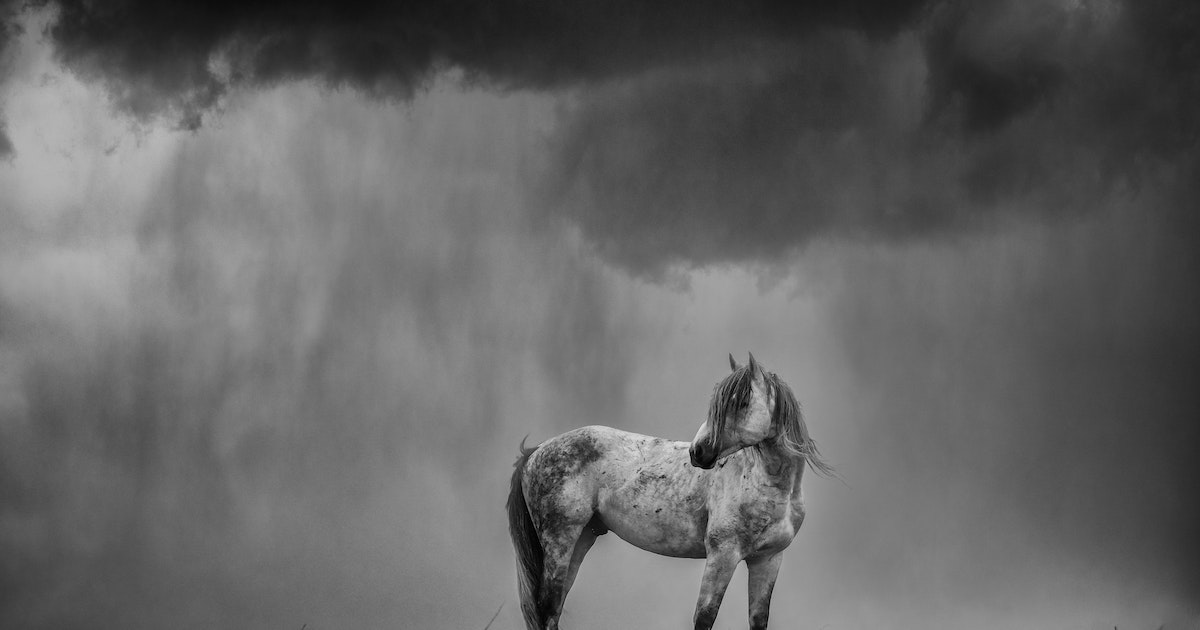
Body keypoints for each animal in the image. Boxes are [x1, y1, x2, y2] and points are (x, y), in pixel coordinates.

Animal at [507, 353, 834, 629]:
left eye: (741, 403)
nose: (697, 452)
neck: (766, 484)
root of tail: (535, 452)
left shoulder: (768, 560)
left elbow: (758, 620)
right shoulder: (723, 555)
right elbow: (705, 617)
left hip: (581, 539)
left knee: (553, 609)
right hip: (560, 540)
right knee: (547, 606)